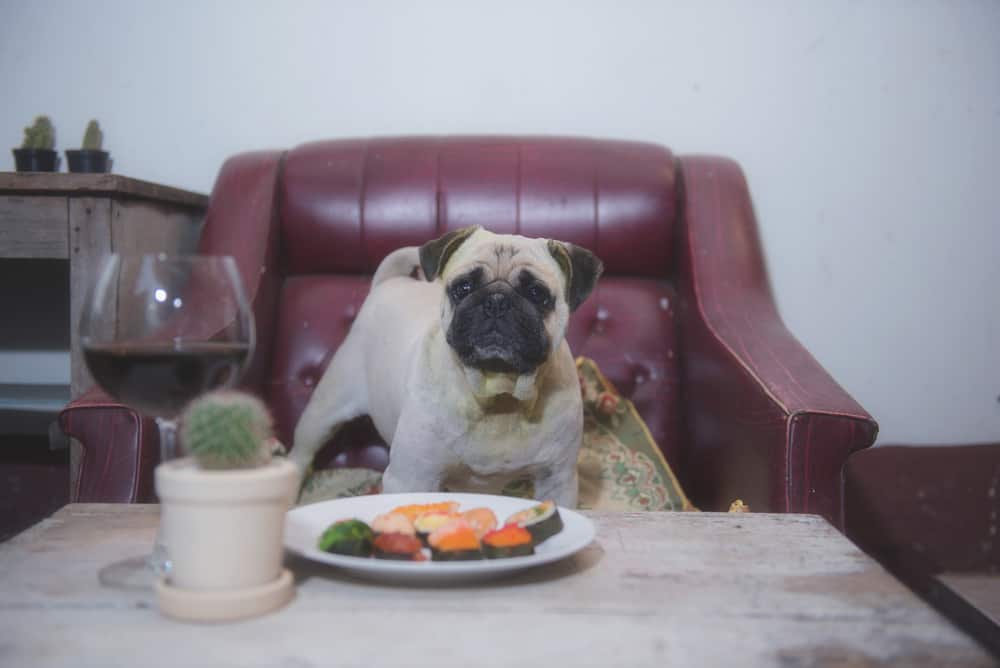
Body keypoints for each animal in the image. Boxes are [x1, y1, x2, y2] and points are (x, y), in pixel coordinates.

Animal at [290, 224, 600, 506]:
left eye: (536, 293)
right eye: (463, 287)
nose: (497, 301)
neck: (499, 395)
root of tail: (389, 283)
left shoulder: (556, 480)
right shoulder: (411, 477)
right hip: (325, 409)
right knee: (300, 455)